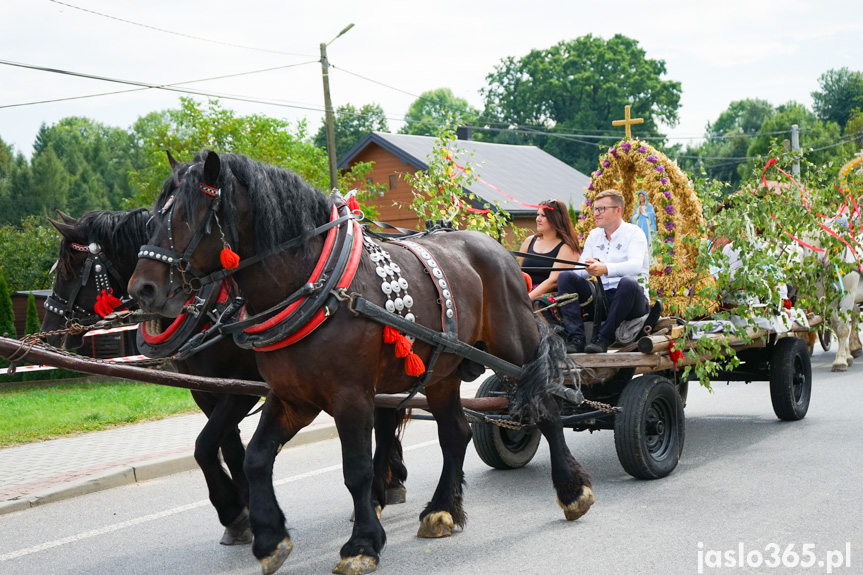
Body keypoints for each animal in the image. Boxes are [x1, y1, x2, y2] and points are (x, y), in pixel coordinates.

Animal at [43, 208, 412, 548]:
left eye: (71, 269)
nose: (49, 328)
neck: (207, 305)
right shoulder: (205, 389)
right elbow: (229, 447)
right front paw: (248, 510)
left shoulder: (242, 385)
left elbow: (205, 445)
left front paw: (233, 511)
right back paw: (391, 482)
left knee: (384, 422)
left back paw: (381, 490)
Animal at [128, 152, 592, 575]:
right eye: (151, 222)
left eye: (187, 216)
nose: (142, 289)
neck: (316, 285)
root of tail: (496, 248)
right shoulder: (292, 397)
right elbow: (255, 457)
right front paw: (269, 537)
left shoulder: (349, 396)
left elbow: (356, 469)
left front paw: (362, 544)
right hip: (440, 370)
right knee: (455, 432)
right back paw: (440, 510)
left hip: (515, 345)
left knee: (546, 407)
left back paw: (572, 492)